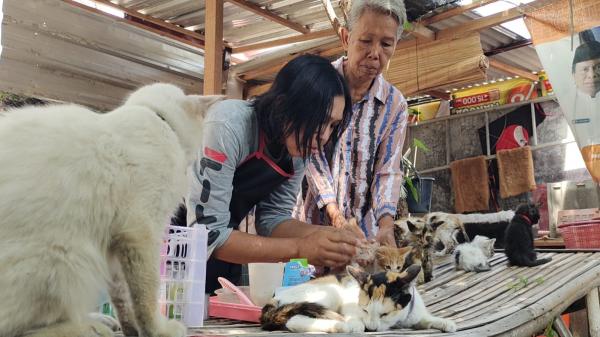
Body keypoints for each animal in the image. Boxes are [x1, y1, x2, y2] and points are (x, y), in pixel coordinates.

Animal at [0, 83, 223, 336]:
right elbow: (146, 292)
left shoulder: (116, 245)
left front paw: (132, 328)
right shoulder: (141, 230)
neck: (158, 118)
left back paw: (100, 320)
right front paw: (157, 329)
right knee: (21, 328)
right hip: (66, 259)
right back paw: (89, 326)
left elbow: (123, 297)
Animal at [262, 266, 454, 334]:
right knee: (294, 321)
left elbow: (426, 320)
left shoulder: (415, 315)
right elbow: (355, 319)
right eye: (365, 310)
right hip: (329, 293)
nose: (371, 329)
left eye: (385, 314)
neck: (400, 321)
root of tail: (276, 297)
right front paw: (356, 324)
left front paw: (444, 322)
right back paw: (340, 326)